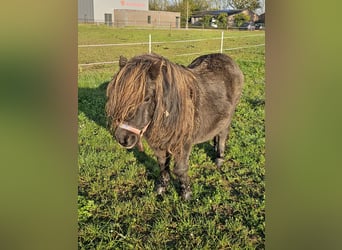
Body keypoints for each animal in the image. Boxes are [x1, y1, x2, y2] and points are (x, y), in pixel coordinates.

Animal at [106, 53, 243, 200]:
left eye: (147, 98)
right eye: (119, 97)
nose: (122, 138)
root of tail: (226, 58)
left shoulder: (183, 145)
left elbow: (180, 169)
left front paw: (186, 194)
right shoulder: (158, 144)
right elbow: (162, 165)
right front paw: (161, 187)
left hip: (228, 118)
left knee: (223, 134)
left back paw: (219, 159)